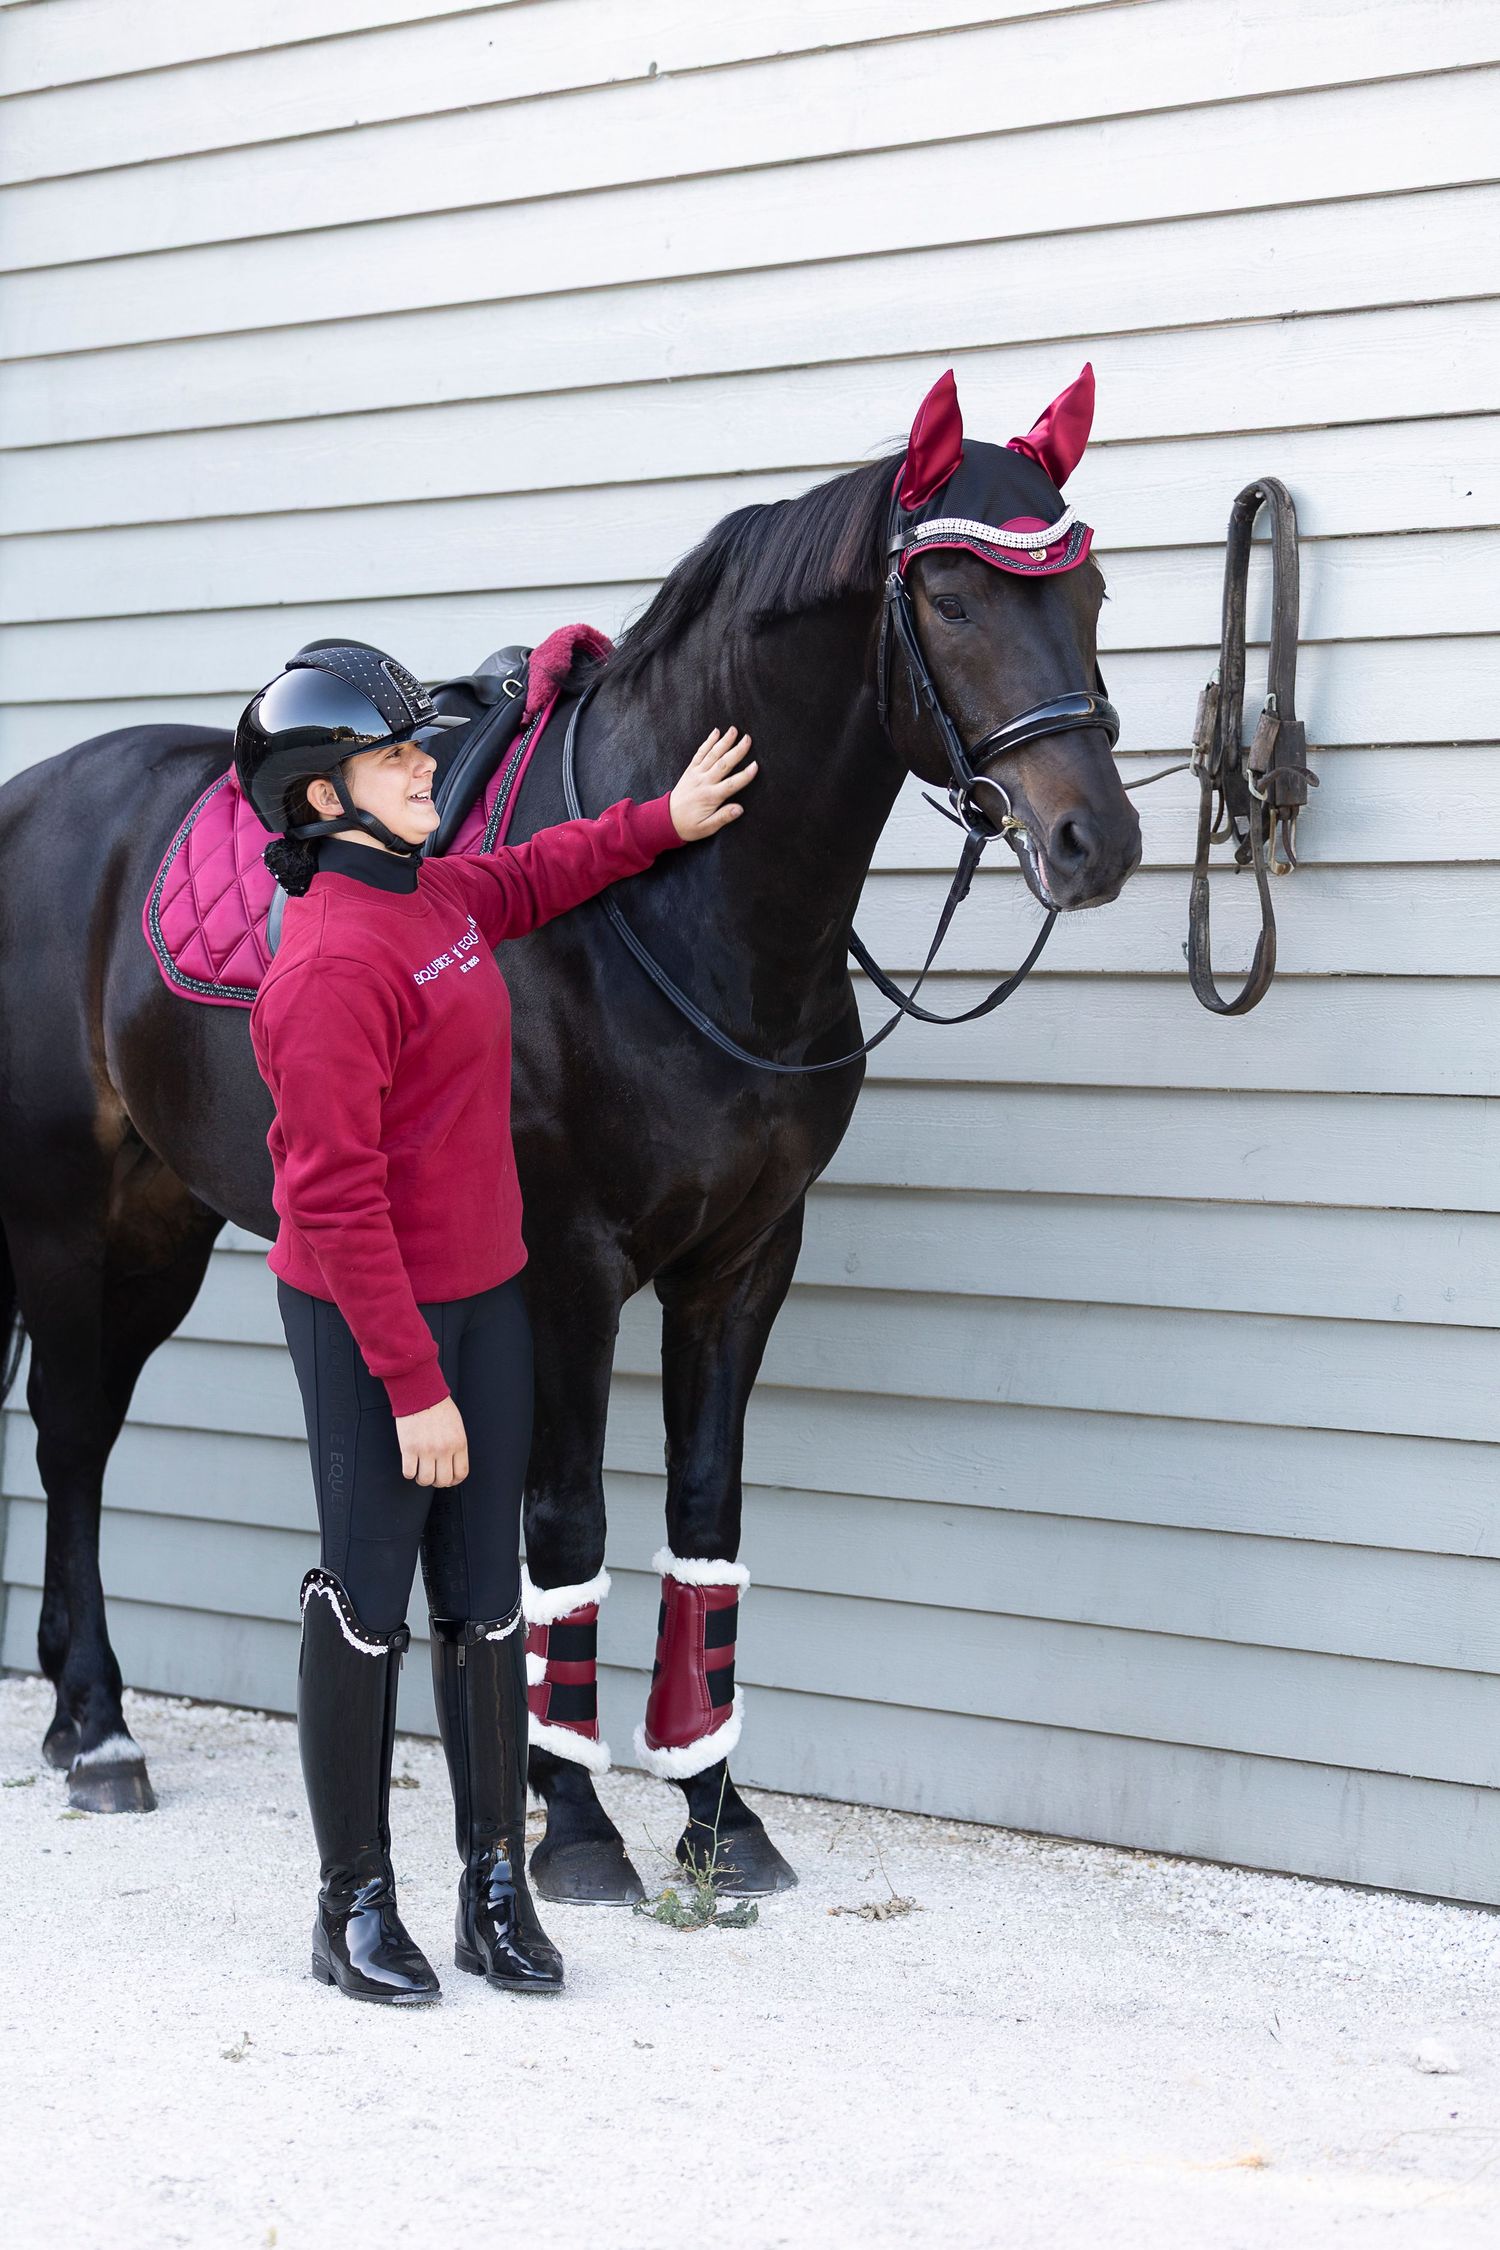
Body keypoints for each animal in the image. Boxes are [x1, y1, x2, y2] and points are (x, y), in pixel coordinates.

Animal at [0, 369, 1140, 1899]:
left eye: (1090, 591)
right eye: (952, 599)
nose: (1097, 844)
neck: (678, 912)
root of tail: (34, 803)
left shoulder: (745, 1260)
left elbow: (704, 1521)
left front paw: (720, 1815)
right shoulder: (565, 1266)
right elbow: (566, 1522)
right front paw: (578, 1821)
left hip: (162, 1218)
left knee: (94, 1432)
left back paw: (82, 1720)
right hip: (67, 1215)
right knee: (71, 1440)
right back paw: (101, 1729)